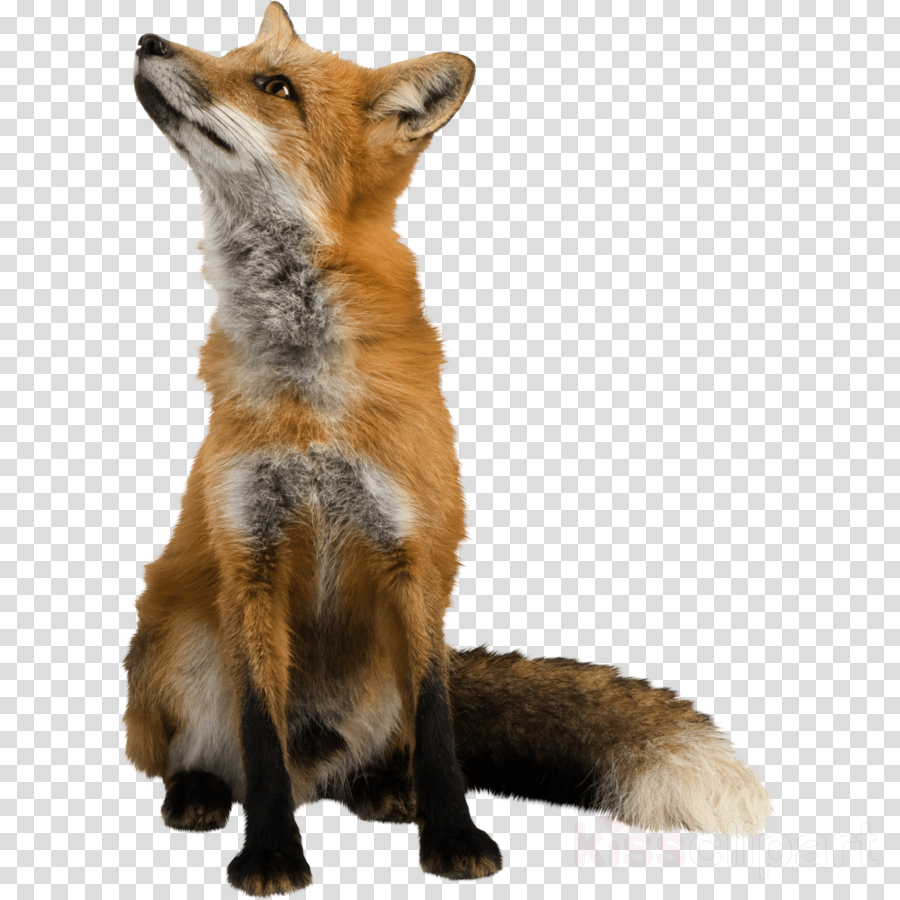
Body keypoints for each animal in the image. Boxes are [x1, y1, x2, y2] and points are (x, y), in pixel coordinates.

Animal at [122, 2, 777, 894]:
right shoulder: (249, 556)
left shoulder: (415, 555)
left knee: (380, 748)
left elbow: (438, 727)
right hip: (177, 642)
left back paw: (382, 788)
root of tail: (321, 756)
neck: (312, 398)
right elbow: (259, 733)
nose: (151, 38)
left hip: (378, 673)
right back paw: (200, 791)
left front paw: (454, 839)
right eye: (235, 53)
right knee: (229, 757)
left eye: (274, 84)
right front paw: (271, 854)